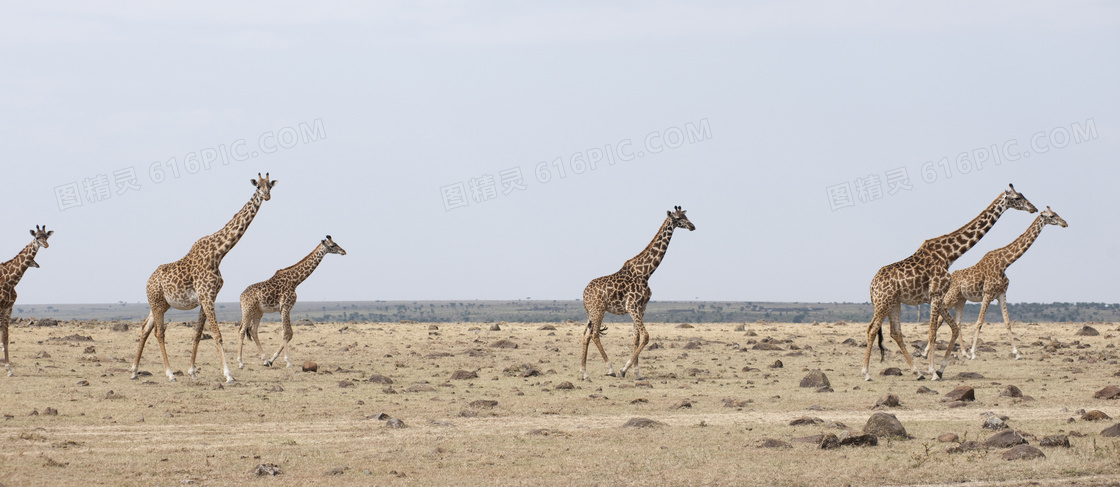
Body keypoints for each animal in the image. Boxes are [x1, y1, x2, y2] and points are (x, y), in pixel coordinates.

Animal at [0, 227, 52, 378]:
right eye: (36, 237)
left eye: (47, 237)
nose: (46, 245)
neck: (10, 281)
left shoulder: (8, 308)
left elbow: (5, 338)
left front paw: (9, 369)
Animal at [129, 173, 276, 382]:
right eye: (258, 186)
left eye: (270, 185)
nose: (267, 196)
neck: (219, 253)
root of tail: (148, 280)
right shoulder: (206, 296)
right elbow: (217, 335)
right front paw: (228, 374)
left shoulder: (209, 297)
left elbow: (198, 333)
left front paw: (192, 371)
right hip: (156, 302)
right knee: (159, 332)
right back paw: (169, 373)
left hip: (160, 303)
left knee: (145, 328)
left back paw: (134, 371)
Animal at [234, 233, 342, 367]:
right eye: (332, 245)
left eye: (336, 243)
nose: (343, 251)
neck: (295, 281)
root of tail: (241, 297)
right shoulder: (285, 306)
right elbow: (285, 333)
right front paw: (288, 361)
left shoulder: (285, 308)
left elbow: (290, 333)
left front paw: (272, 359)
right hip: (247, 310)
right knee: (242, 330)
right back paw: (240, 362)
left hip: (258, 311)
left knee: (253, 331)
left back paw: (265, 360)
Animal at [860, 184, 1034, 382]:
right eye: (1018, 198)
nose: (1033, 208)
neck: (949, 255)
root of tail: (872, 285)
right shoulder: (936, 294)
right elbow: (933, 332)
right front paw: (933, 372)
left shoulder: (938, 296)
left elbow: (954, 328)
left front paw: (939, 369)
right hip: (883, 302)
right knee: (872, 329)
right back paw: (866, 373)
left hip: (894, 303)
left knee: (895, 332)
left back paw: (917, 372)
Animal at [927, 205, 1066, 362]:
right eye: (1052, 216)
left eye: (1056, 213)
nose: (1065, 223)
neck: (1004, 263)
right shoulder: (987, 294)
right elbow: (979, 322)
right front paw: (974, 353)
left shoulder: (1001, 294)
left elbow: (1007, 323)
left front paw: (1017, 353)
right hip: (950, 297)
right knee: (939, 320)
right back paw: (928, 352)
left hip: (960, 299)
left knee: (957, 323)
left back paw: (963, 353)